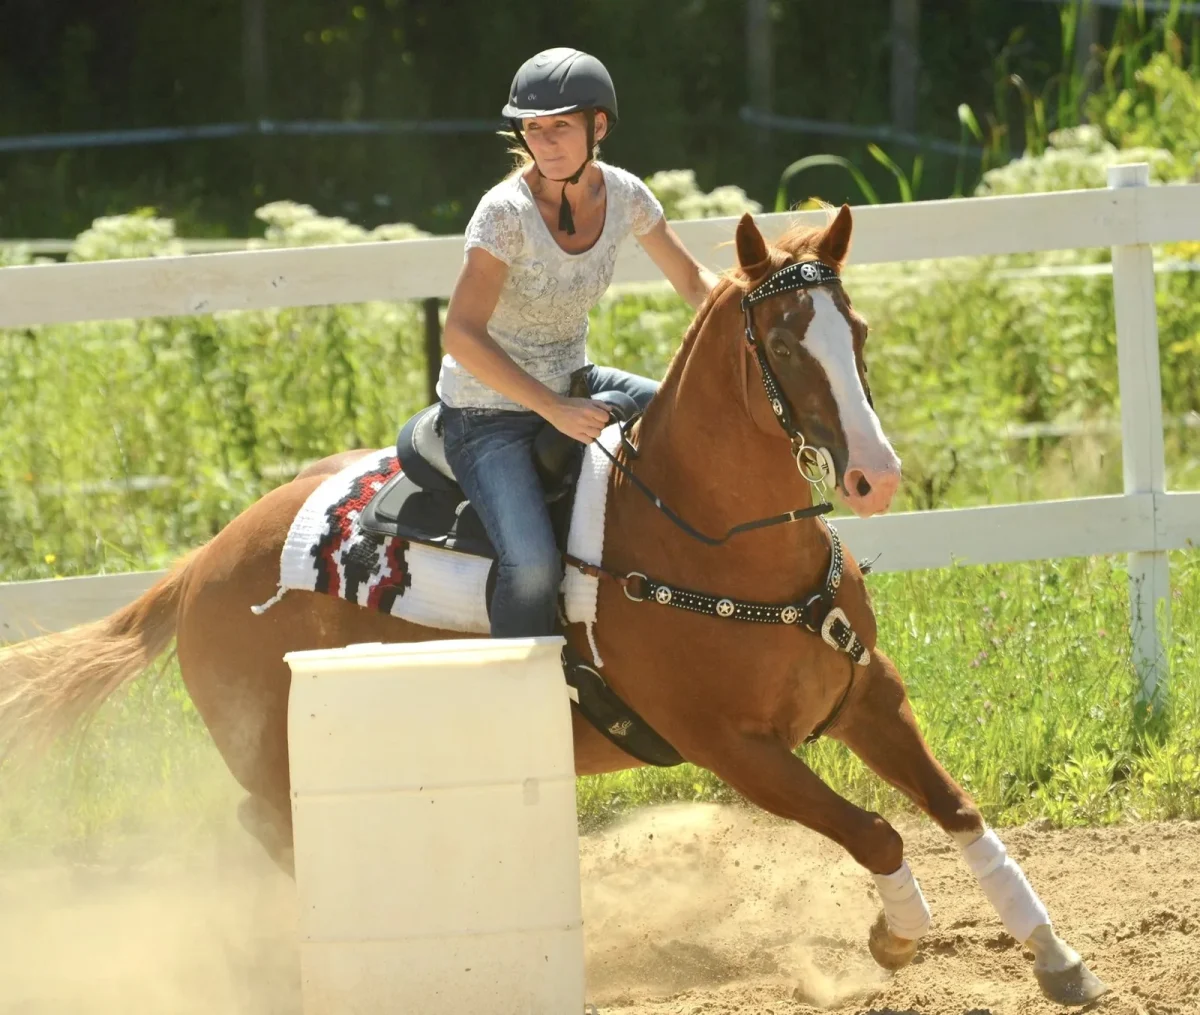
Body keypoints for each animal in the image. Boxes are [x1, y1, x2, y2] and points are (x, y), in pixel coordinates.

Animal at [0, 207, 1106, 1005]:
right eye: (788, 346)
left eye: (858, 331)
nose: (877, 476)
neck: (714, 540)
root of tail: (202, 564)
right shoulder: (733, 748)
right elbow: (876, 832)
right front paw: (891, 936)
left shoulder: (865, 693)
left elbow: (959, 811)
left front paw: (1056, 956)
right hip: (271, 752)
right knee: (264, 826)